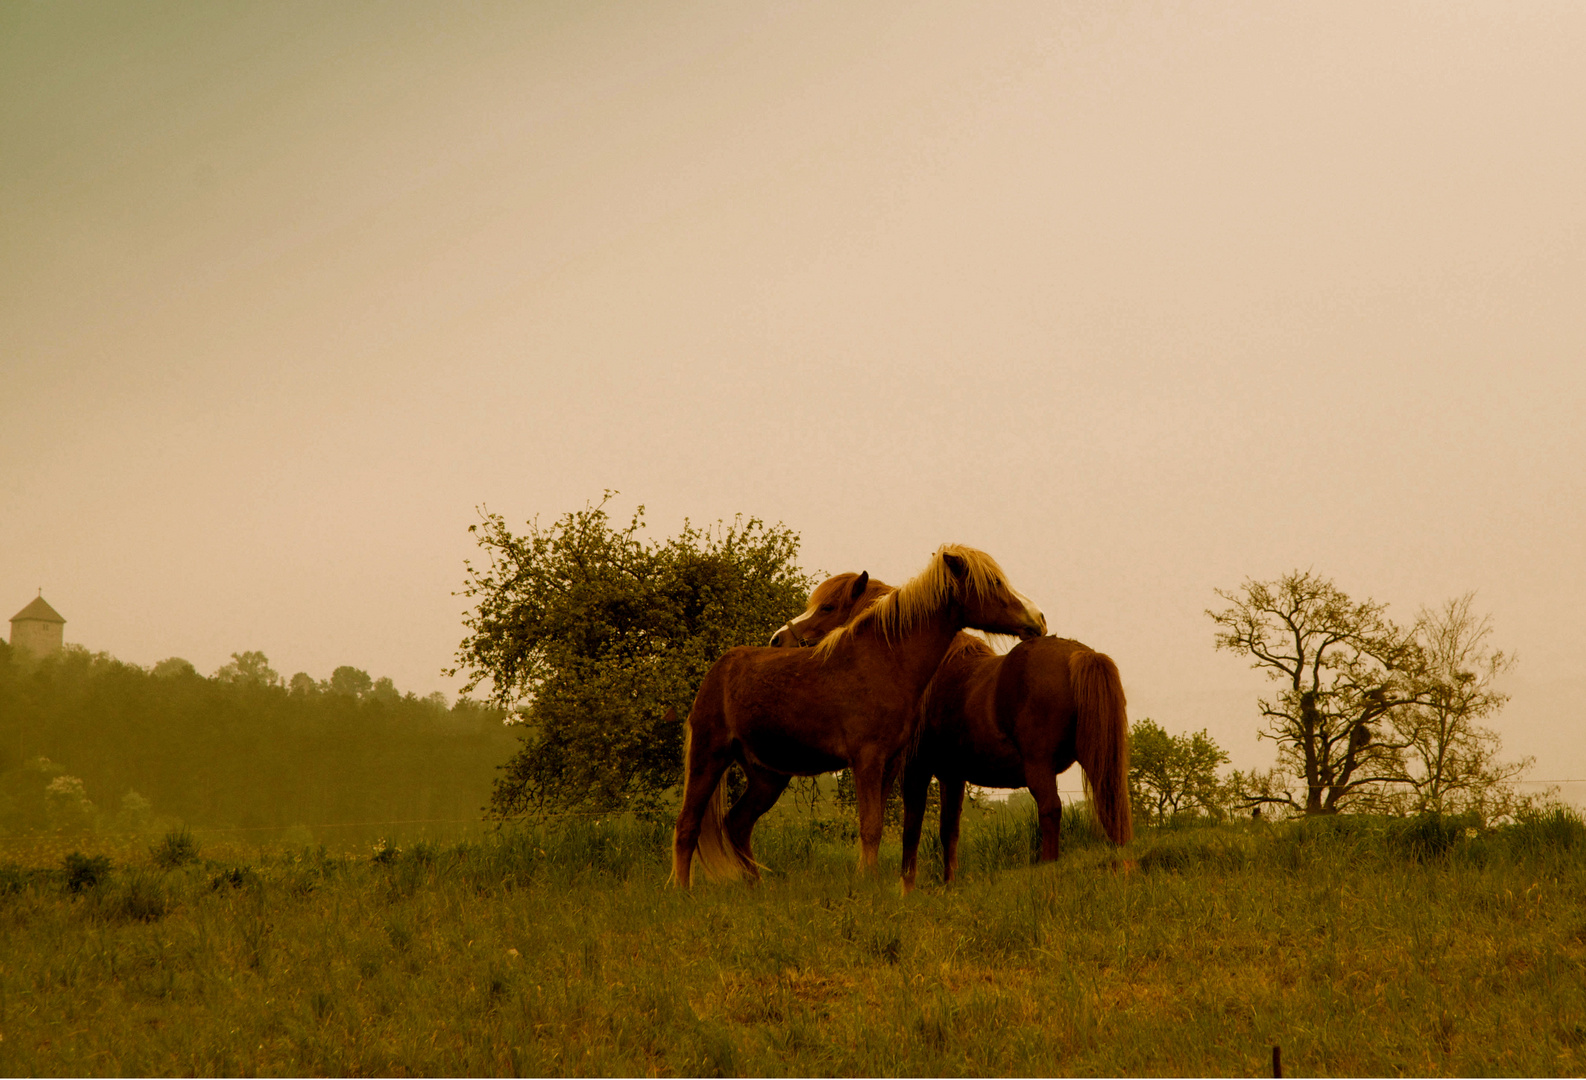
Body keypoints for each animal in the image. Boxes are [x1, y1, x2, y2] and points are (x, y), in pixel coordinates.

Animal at [666, 542, 1046, 888]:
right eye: (994, 583)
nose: (1038, 620)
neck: (884, 661)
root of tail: (719, 668)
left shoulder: (891, 764)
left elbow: (885, 825)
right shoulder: (868, 760)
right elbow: (872, 827)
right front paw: (867, 884)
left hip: (768, 775)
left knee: (737, 824)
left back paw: (756, 888)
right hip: (709, 756)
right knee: (687, 826)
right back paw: (684, 893)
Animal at [767, 574, 1129, 881]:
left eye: (827, 607)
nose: (777, 640)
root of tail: (1082, 656)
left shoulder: (914, 768)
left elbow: (911, 830)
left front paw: (906, 885)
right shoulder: (953, 775)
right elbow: (948, 832)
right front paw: (948, 884)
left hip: (1039, 767)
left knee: (1051, 811)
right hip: (1097, 763)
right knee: (1113, 809)